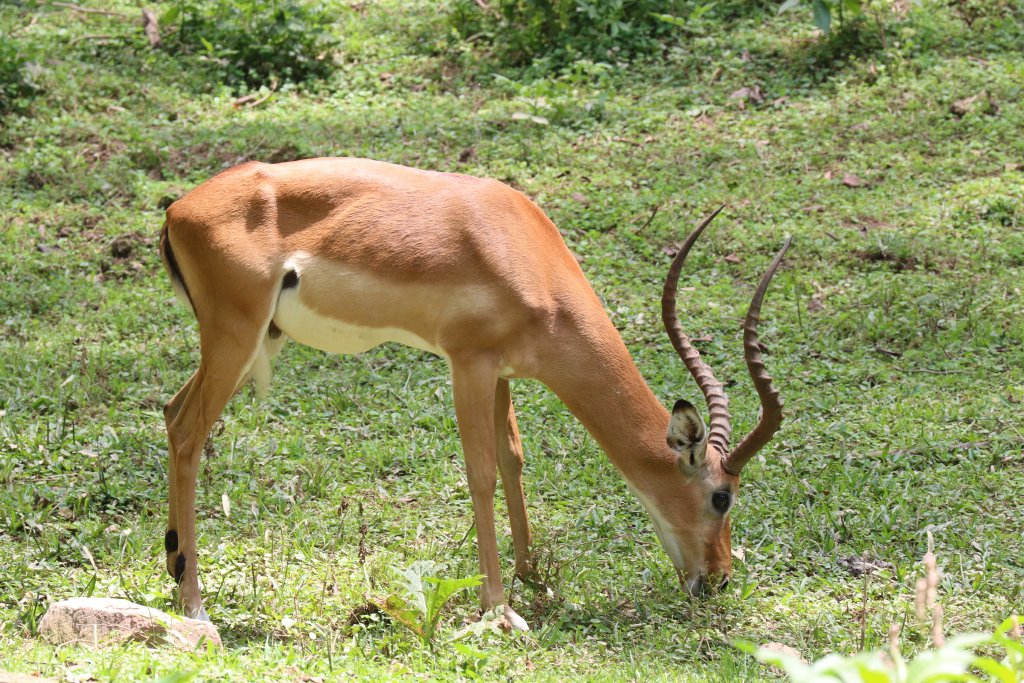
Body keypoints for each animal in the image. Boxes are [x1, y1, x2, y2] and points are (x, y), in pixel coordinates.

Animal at [158, 157, 790, 630]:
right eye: (721, 497)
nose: (718, 579)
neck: (527, 256)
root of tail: (176, 211)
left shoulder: (504, 371)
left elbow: (513, 459)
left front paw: (533, 577)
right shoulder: (469, 363)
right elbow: (480, 472)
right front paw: (500, 609)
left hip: (245, 343)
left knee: (169, 411)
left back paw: (173, 568)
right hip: (235, 337)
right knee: (188, 431)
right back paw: (195, 608)